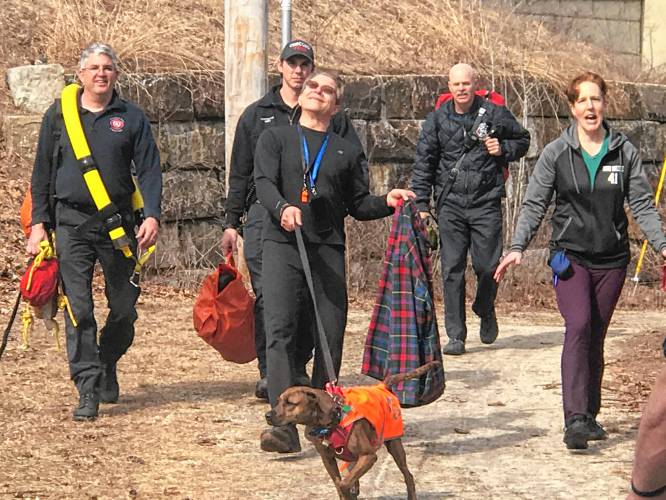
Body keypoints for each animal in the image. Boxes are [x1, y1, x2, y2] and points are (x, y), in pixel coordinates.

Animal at [264, 362, 440, 498]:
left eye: (290, 403)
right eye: (278, 401)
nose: (267, 415)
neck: (332, 421)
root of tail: (383, 385)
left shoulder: (369, 456)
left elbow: (343, 484)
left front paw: (348, 490)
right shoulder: (328, 459)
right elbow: (339, 483)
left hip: (394, 446)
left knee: (408, 476)